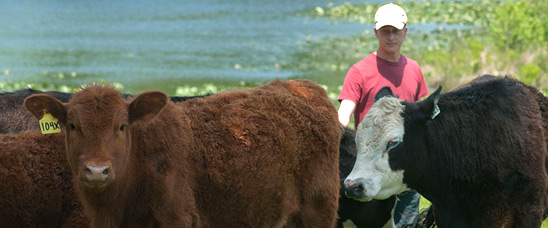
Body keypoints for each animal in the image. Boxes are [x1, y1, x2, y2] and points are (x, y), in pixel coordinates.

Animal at [26, 79, 342, 227]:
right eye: (72, 125)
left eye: (122, 126)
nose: (96, 170)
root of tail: (301, 87)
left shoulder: (179, 218)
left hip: (319, 208)